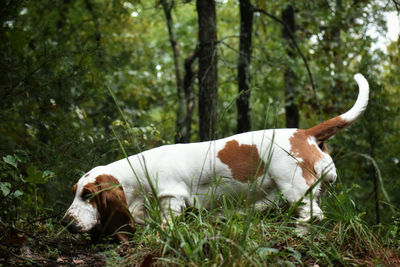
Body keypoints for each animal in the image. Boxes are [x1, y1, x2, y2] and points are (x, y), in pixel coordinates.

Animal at [61, 74, 370, 243]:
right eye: (74, 192)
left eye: (88, 195)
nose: (65, 222)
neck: (136, 175)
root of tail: (305, 133)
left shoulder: (171, 200)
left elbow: (166, 225)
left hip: (295, 190)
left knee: (311, 216)